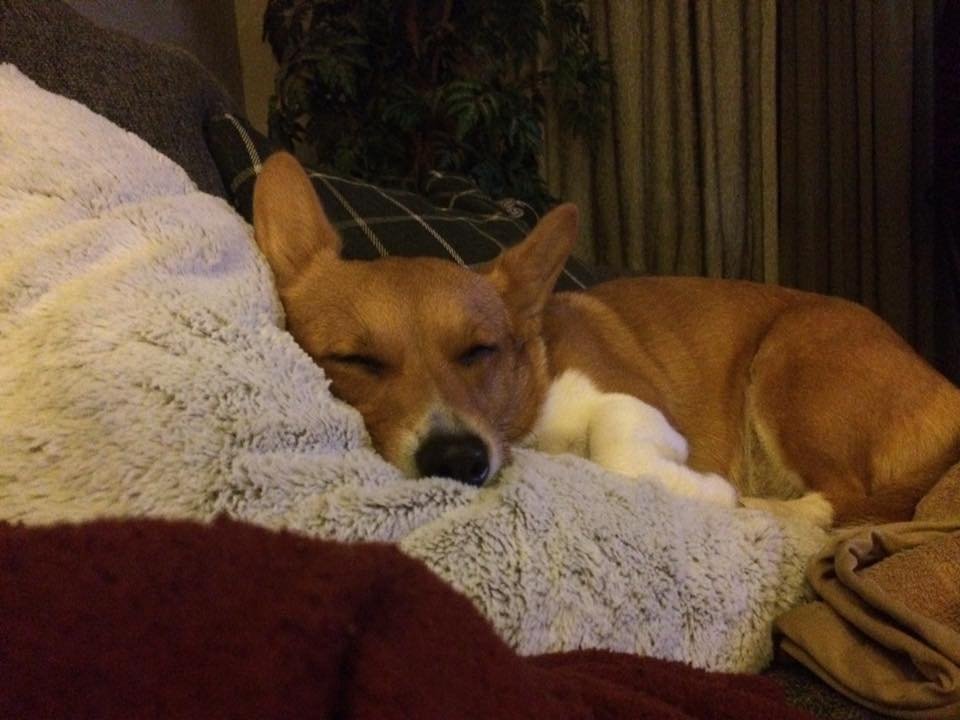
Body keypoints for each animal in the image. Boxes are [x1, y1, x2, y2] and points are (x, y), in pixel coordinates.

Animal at [249, 152, 960, 524]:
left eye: (479, 351)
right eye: (356, 360)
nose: (460, 461)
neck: (530, 422)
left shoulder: (632, 402)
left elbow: (620, 448)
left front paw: (709, 491)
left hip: (790, 365)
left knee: (840, 497)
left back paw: (765, 509)